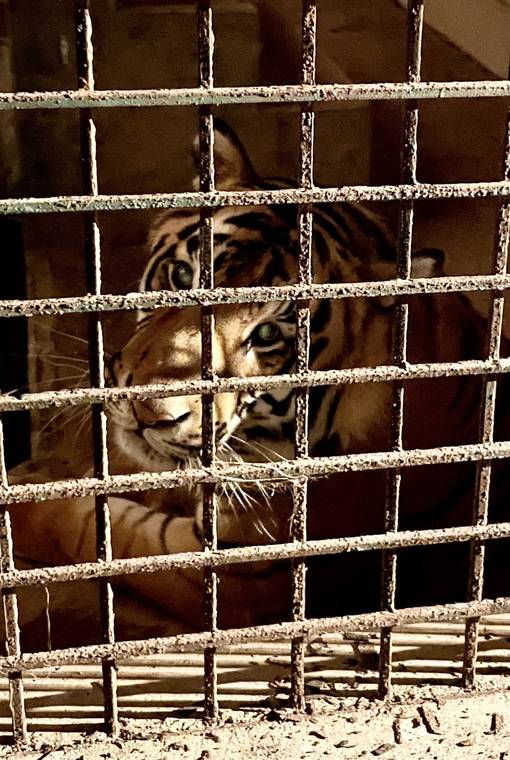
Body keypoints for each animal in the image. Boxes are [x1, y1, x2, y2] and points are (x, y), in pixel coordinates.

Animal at [6, 120, 510, 650]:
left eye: (267, 334)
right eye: (182, 275)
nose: (148, 412)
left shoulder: (236, 572)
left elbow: (86, 525)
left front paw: (24, 497)